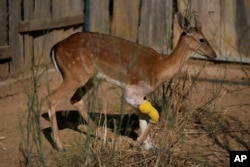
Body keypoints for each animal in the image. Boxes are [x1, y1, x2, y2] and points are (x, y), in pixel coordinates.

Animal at [46, 12, 217, 152]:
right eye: (201, 39)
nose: (214, 54)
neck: (159, 68)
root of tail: (55, 48)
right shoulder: (130, 92)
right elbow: (155, 116)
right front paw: (136, 143)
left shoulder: (142, 94)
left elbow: (144, 118)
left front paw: (149, 146)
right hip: (74, 75)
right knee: (51, 98)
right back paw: (60, 146)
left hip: (90, 79)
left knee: (75, 99)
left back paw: (105, 138)